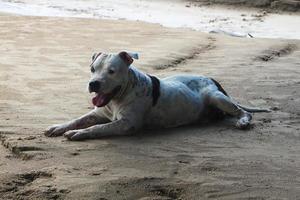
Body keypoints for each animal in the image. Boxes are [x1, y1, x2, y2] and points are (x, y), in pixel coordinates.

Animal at [44, 51, 270, 141]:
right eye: (93, 69)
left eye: (112, 71)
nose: (94, 84)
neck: (119, 97)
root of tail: (213, 79)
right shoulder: (98, 113)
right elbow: (78, 119)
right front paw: (59, 127)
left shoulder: (127, 124)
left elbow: (99, 128)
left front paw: (80, 133)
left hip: (216, 97)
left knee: (243, 112)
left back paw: (243, 122)